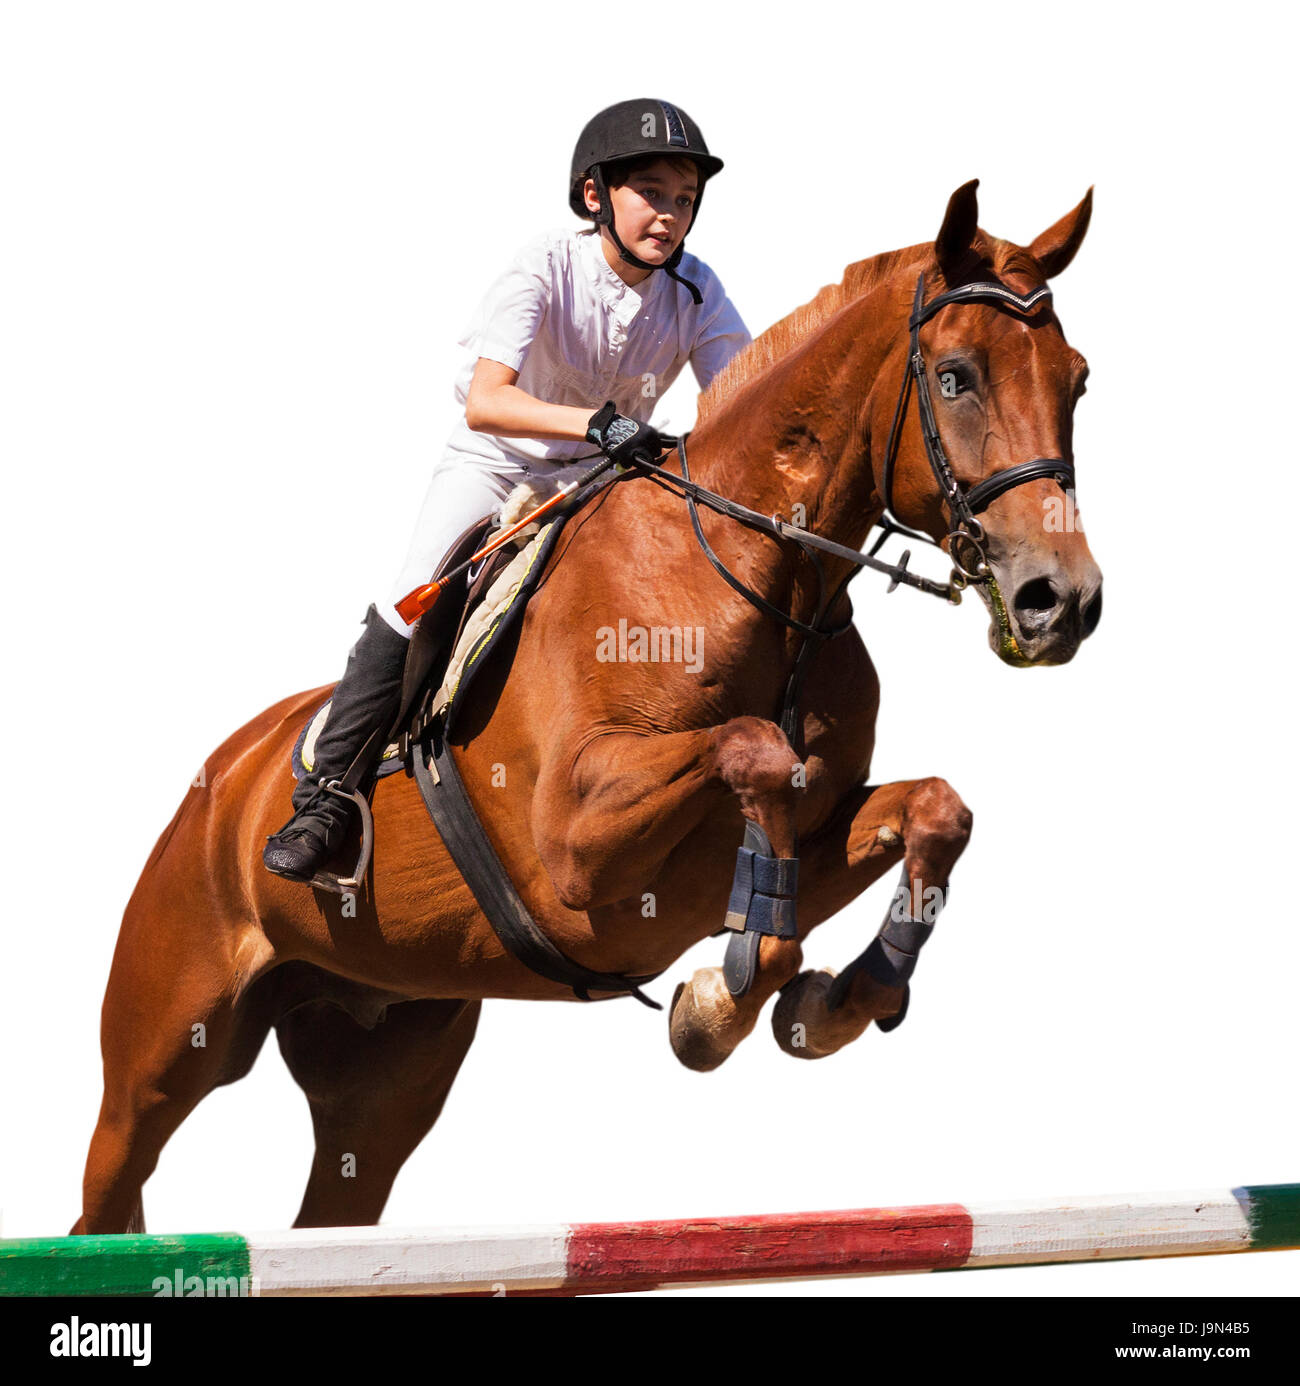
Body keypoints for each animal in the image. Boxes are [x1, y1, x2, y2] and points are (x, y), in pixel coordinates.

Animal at [75, 178, 1097, 1230]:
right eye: (956, 378)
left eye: (1079, 382)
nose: (1060, 602)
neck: (755, 583)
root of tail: (219, 778)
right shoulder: (574, 843)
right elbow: (751, 754)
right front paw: (721, 1003)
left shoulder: (779, 844)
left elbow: (931, 809)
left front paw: (832, 1003)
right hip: (164, 1046)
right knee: (112, 1180)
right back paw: (303, 835)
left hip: (384, 1064)